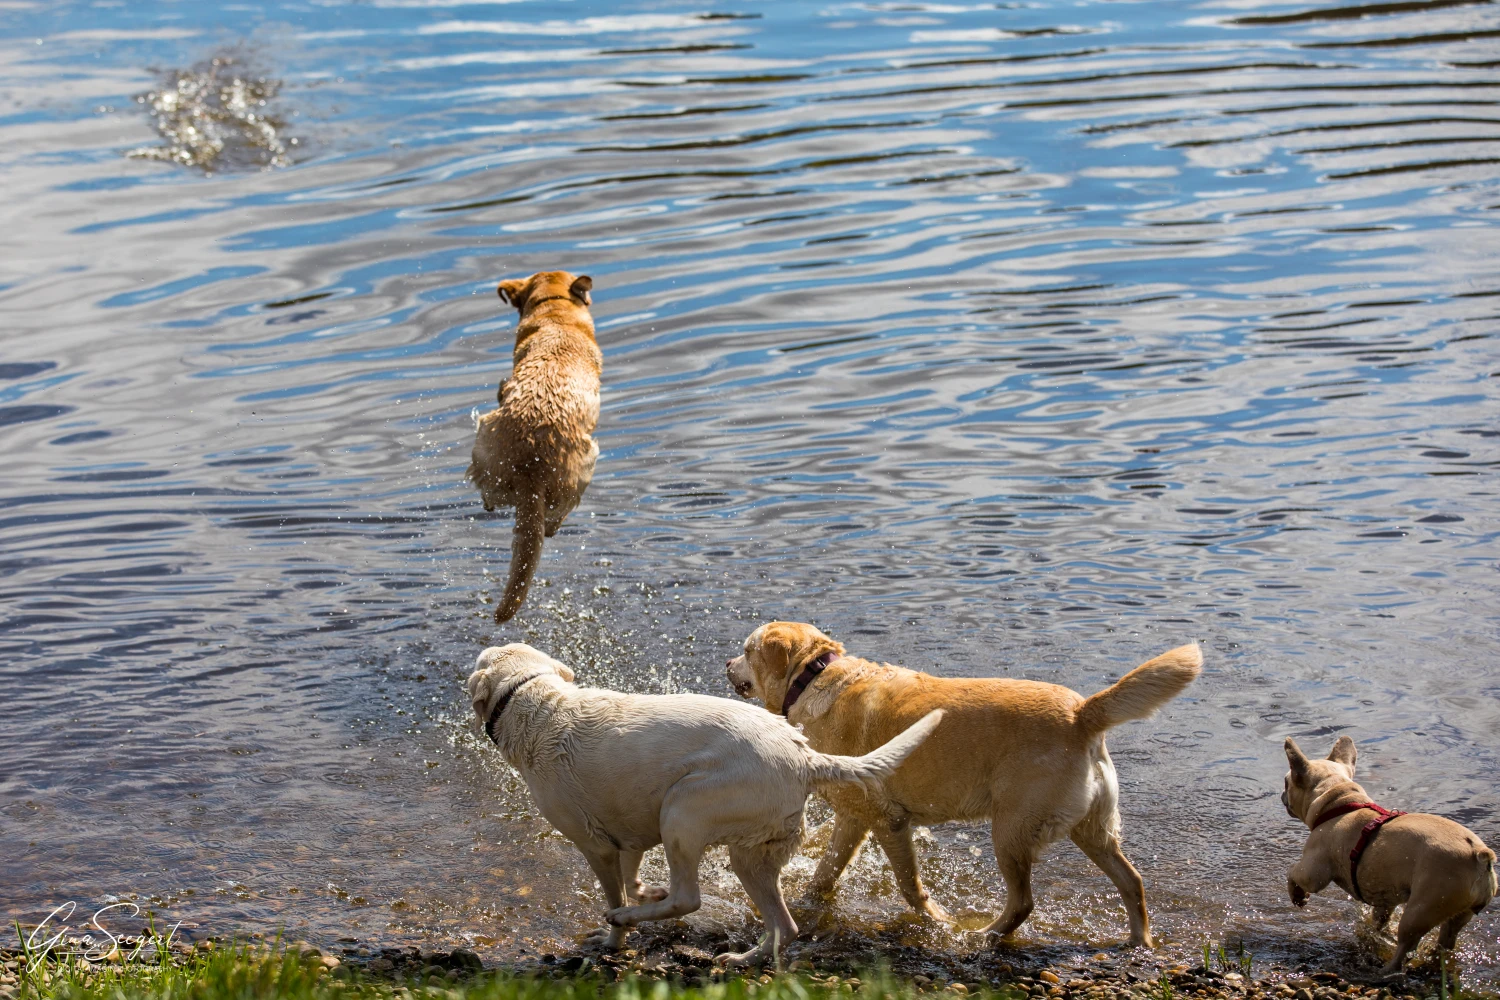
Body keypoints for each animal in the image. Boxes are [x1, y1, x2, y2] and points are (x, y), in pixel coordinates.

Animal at [462, 644, 942, 965]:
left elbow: (617, 888)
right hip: (750, 852)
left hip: (682, 809)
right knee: (783, 925)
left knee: (689, 898)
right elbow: (633, 873)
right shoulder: (629, 833)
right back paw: (744, 959)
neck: (535, 701)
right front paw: (644, 893)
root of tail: (805, 757)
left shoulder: (595, 845)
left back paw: (627, 915)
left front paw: (615, 936)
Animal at [474, 269, 603, 620]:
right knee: (554, 518)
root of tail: (530, 466)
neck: (554, 312)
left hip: (484, 436)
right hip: (588, 460)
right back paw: (549, 525)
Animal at [720, 620, 1200, 953]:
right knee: (1132, 882)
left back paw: (982, 935)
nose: (726, 664)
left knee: (1023, 902)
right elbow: (825, 874)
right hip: (1092, 831)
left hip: (1010, 829)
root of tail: (1083, 713)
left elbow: (909, 886)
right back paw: (1139, 943)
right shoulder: (853, 818)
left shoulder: (886, 820)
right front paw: (809, 901)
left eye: (746, 650)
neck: (812, 677)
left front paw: (939, 921)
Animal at [1284, 734, 1494, 977]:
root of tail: (1479, 855)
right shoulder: (1385, 899)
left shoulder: (1313, 870)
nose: (1282, 794)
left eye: (1286, 782)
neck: (1340, 802)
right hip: (1459, 914)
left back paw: (1384, 972)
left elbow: (1293, 872)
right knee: (1447, 939)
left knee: (1405, 947)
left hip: (1420, 911)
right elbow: (1380, 917)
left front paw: (1298, 896)